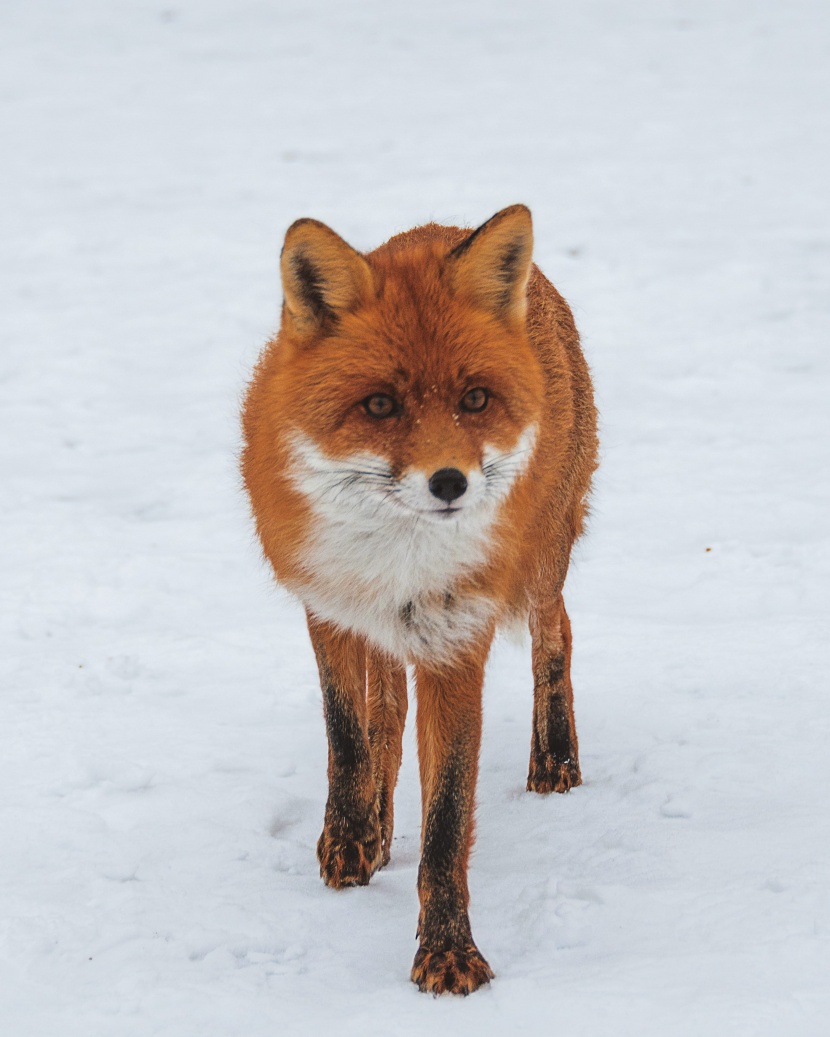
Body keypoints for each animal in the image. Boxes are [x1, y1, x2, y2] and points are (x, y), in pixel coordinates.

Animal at [239, 204, 597, 995]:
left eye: (474, 399)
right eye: (380, 404)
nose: (450, 482)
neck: (399, 560)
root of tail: (447, 225)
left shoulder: (456, 640)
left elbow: (447, 820)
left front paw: (448, 953)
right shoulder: (331, 607)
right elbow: (349, 734)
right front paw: (350, 836)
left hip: (540, 561)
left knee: (557, 632)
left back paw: (554, 758)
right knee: (386, 713)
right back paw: (372, 824)